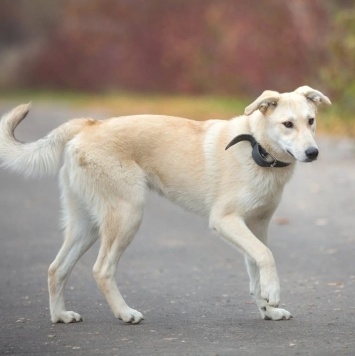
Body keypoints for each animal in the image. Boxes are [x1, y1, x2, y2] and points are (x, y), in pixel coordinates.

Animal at [0, 85, 330, 322]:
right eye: (287, 124)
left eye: (311, 121)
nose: (313, 153)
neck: (257, 149)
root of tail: (90, 125)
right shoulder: (225, 220)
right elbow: (266, 256)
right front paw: (273, 294)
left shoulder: (256, 226)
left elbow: (256, 268)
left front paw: (268, 310)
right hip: (127, 214)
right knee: (101, 270)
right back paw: (124, 313)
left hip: (87, 224)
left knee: (56, 269)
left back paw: (60, 316)